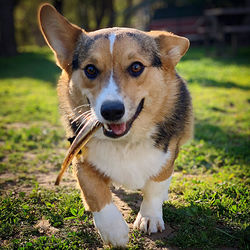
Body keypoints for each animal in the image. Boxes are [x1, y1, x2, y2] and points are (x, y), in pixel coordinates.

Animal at [38, 2, 193, 247]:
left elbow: (156, 184)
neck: (125, 143)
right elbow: (94, 192)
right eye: (90, 69)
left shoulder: (168, 153)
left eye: (136, 67)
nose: (111, 111)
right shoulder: (80, 156)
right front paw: (114, 231)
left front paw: (149, 217)